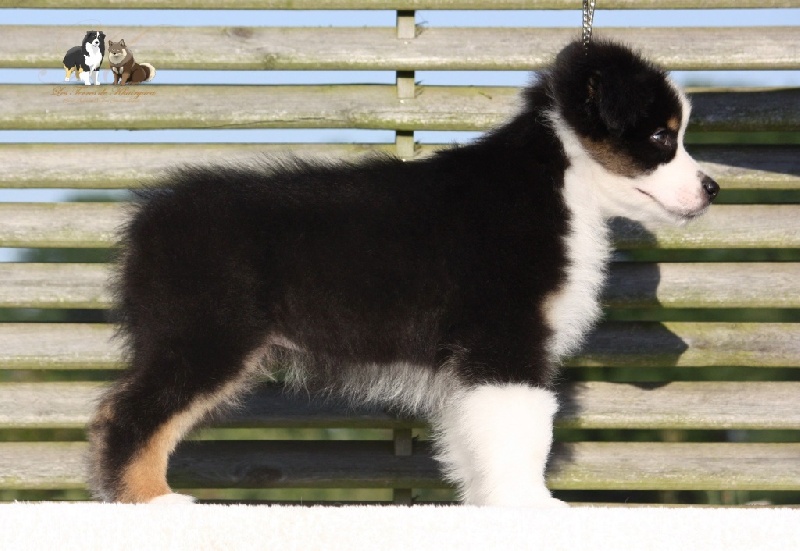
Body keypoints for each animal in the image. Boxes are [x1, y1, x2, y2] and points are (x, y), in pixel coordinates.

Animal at [88, 40, 719, 505]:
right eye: (662, 137)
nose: (713, 188)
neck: (562, 180)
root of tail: (149, 220)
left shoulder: (473, 360)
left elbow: (474, 437)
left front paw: (488, 504)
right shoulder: (507, 337)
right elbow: (523, 429)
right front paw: (531, 507)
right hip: (206, 334)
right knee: (129, 414)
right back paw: (150, 501)